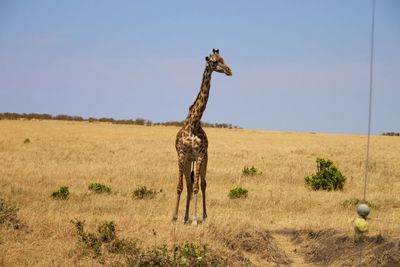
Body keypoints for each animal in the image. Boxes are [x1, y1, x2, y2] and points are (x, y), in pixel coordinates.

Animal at [171, 49, 231, 225]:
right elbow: (180, 186)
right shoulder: (181, 155)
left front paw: (195, 219)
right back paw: (184, 217)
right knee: (189, 184)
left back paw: (202, 216)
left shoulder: (199, 156)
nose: (229, 70)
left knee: (202, 184)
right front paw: (175, 217)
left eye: (223, 59)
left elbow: (198, 186)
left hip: (205, 160)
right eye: (214, 61)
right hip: (187, 162)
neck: (193, 123)